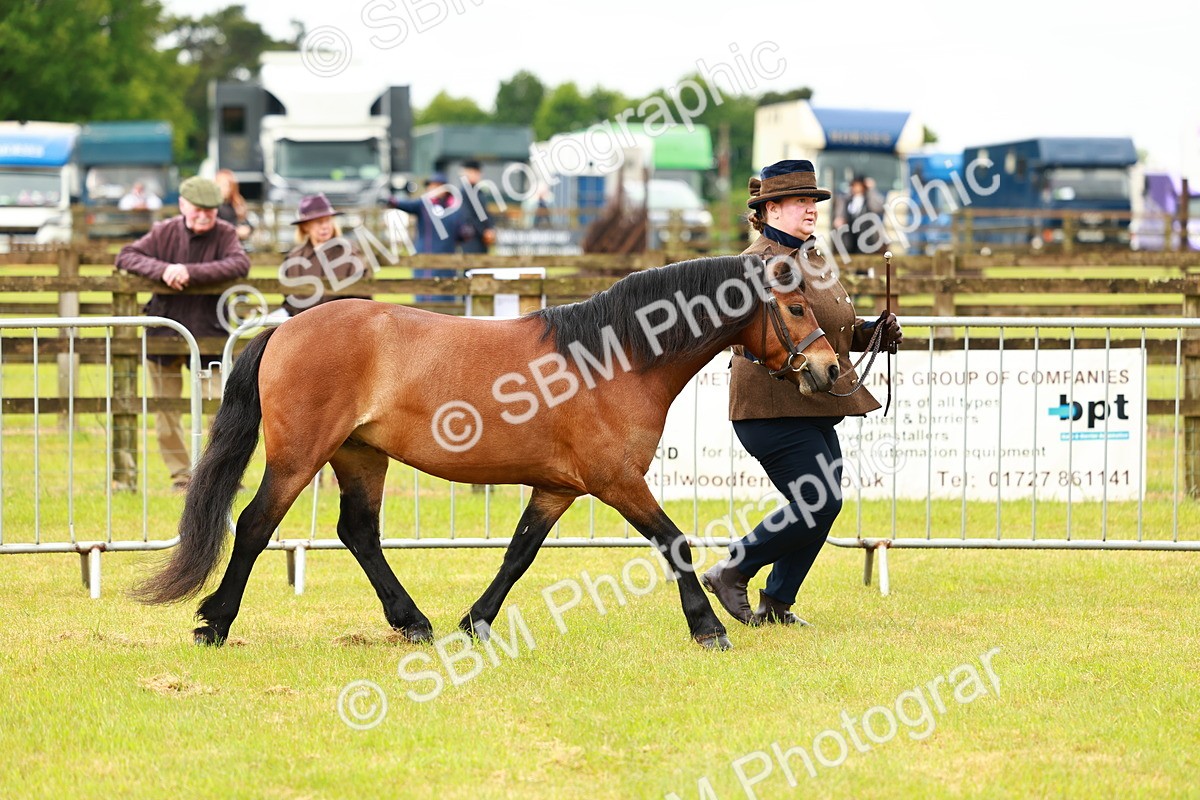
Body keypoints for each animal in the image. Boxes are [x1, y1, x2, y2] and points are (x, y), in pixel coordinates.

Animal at [132, 253, 841, 650]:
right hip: (299, 458)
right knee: (254, 526)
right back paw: (215, 624)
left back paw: (411, 621)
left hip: (359, 456)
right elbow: (675, 543)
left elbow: (518, 555)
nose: (828, 370)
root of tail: (285, 329)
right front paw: (709, 628)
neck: (617, 359)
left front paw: (475, 621)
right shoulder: (618, 482)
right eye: (796, 307)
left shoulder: (558, 488)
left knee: (358, 531)